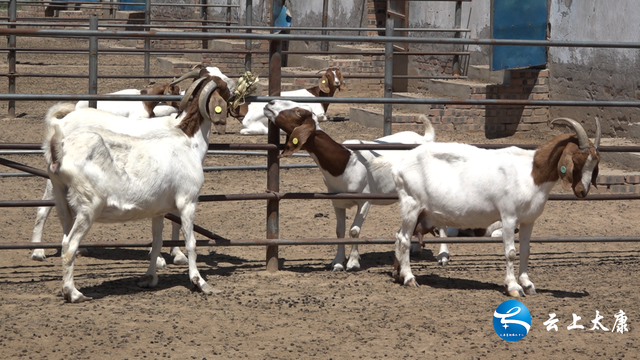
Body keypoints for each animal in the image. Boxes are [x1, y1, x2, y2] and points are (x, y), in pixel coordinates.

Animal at [43, 74, 232, 302]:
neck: (189, 142)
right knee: (70, 246)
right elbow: (191, 243)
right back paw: (74, 293)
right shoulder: (187, 201)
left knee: (63, 242)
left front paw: (149, 278)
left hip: (62, 201)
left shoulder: (159, 210)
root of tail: (59, 152)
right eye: (223, 87)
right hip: (88, 207)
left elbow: (157, 242)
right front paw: (200, 282)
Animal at [262, 100, 452, 272]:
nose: (270, 103)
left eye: (298, 112)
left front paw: (353, 262)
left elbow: (354, 230)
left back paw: (443, 256)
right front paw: (338, 262)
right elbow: (340, 231)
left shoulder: (365, 199)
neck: (345, 162)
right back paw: (416, 249)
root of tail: (425, 138)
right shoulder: (337, 201)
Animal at [376, 116, 600, 296]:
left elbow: (526, 250)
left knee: (399, 235)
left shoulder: (528, 220)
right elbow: (511, 252)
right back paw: (409, 278)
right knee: (404, 238)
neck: (531, 173)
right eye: (578, 159)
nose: (583, 191)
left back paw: (397, 274)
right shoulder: (508, 216)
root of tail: (399, 165)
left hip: (420, 212)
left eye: (595, 162)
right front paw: (514, 288)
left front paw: (528, 284)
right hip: (411, 204)